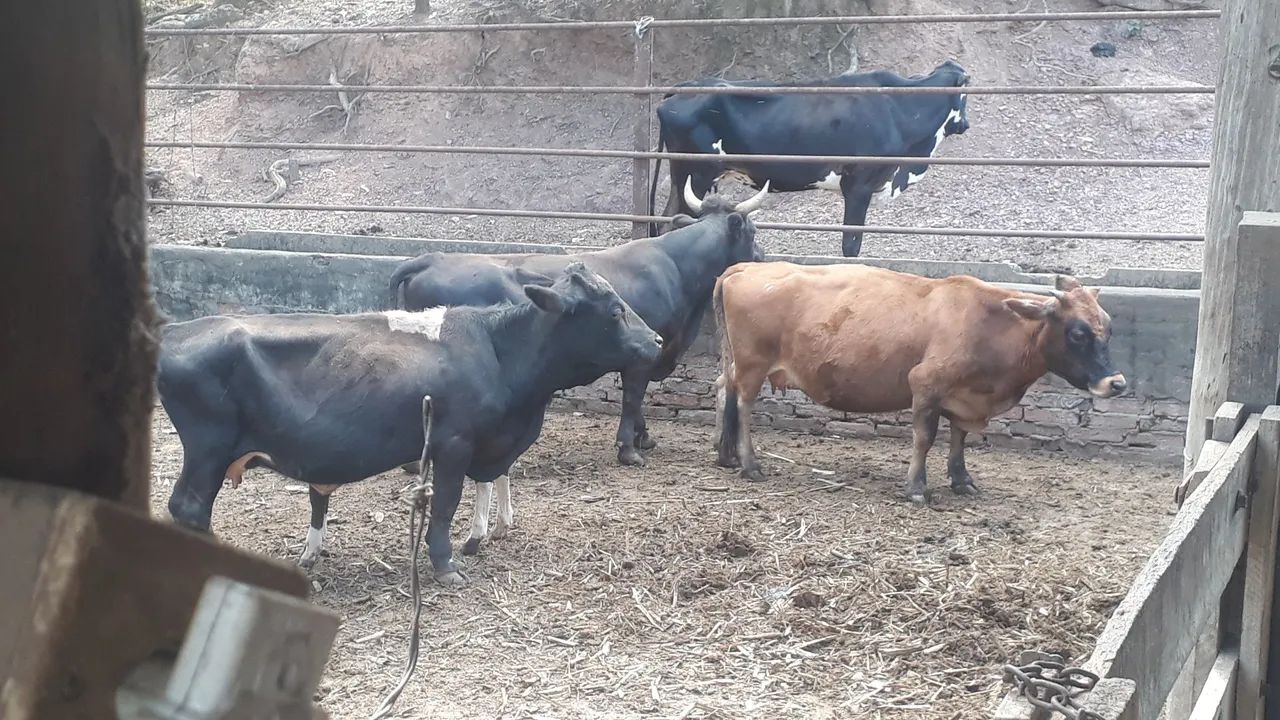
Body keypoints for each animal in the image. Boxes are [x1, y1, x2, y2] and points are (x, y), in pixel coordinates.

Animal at [159, 263, 661, 585]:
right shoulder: (454, 441)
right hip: (207, 449)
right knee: (188, 506)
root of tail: (178, 330)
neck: (497, 350)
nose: (657, 339)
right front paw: (446, 566)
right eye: (615, 310)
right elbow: (446, 503)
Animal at [389, 183, 768, 473]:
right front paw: (629, 448)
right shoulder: (640, 357)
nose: (763, 257)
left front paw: (644, 437)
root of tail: (432, 257)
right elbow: (633, 398)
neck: (674, 266)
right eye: (752, 232)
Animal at [649, 59, 971, 257]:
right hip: (698, 172)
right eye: (966, 93)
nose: (965, 124)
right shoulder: (859, 185)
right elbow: (851, 244)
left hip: (682, 176)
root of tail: (685, 87)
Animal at [711, 263, 1127, 504]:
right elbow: (925, 438)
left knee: (722, 389)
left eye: (1108, 327)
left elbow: (959, 437)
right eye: (1077, 333)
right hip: (752, 364)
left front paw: (962, 479)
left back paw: (725, 454)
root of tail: (745, 267)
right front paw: (915, 487)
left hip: (734, 361)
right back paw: (749, 463)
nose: (1117, 383)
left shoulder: (965, 397)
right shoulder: (925, 384)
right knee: (743, 404)